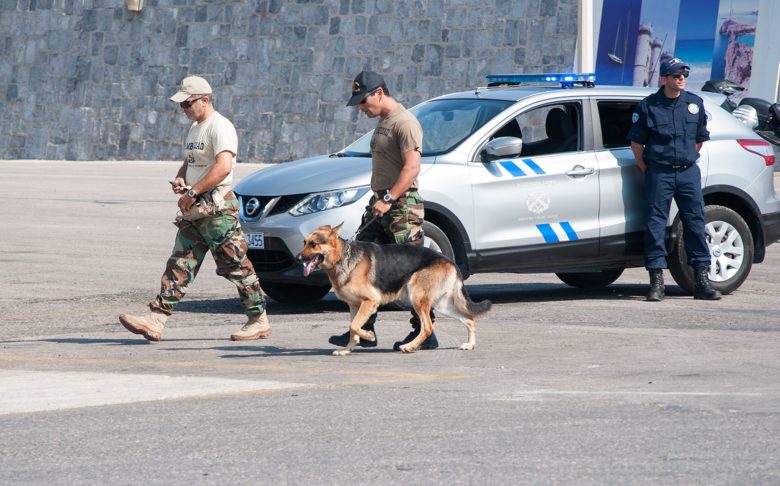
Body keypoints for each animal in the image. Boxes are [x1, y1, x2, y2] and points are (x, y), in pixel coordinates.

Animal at [296, 225, 490, 356]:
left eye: (313, 244)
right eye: (304, 242)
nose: (298, 259)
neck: (343, 257)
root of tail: (449, 261)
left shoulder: (370, 301)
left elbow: (355, 326)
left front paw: (368, 336)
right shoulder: (354, 306)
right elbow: (352, 329)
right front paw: (347, 349)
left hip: (417, 298)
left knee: (427, 327)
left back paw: (410, 346)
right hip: (443, 305)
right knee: (470, 319)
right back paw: (470, 344)